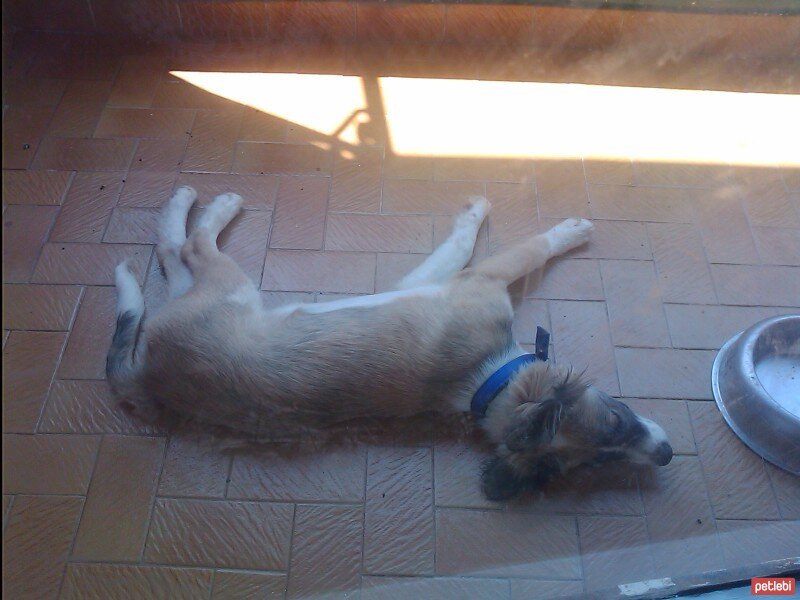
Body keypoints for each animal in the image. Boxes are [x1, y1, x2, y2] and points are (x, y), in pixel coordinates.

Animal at [104, 189, 668, 502]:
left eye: (595, 466)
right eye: (615, 417)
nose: (664, 455)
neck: (486, 380)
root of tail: (148, 375)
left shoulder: (443, 280)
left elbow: (467, 243)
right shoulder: (476, 276)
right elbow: (504, 244)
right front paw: (565, 231)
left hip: (213, 294)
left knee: (177, 250)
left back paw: (188, 213)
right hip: (227, 287)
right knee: (188, 246)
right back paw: (209, 205)